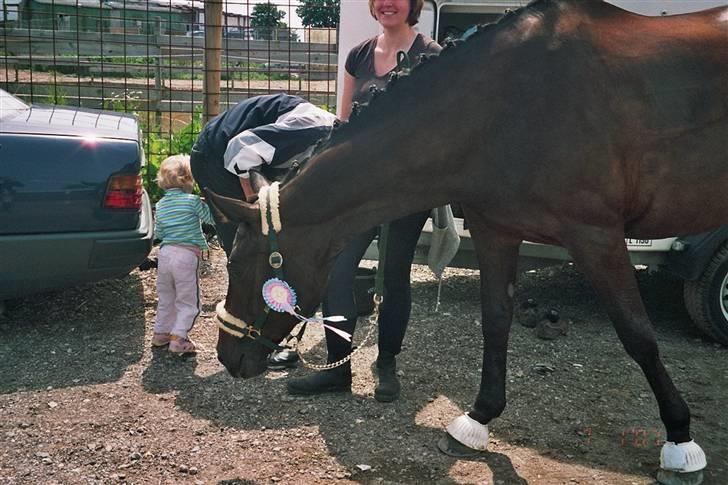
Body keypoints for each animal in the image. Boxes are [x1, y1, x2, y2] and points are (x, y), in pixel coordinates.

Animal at [205, 1, 728, 482]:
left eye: (242, 265)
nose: (228, 358)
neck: (505, 105)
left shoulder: (596, 235)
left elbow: (639, 337)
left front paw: (681, 443)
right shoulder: (497, 230)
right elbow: (495, 323)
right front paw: (477, 420)